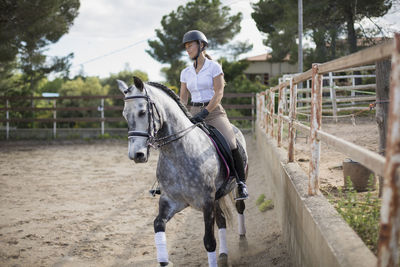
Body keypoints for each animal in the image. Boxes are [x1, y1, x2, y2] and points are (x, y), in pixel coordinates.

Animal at [116, 76, 247, 266]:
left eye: (142, 112)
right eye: (125, 115)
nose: (136, 155)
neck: (178, 154)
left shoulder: (206, 202)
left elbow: (209, 241)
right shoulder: (171, 201)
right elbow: (158, 225)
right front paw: (166, 261)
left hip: (235, 187)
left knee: (239, 207)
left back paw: (243, 242)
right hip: (217, 197)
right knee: (222, 220)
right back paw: (223, 256)